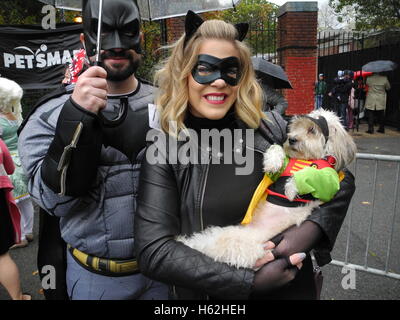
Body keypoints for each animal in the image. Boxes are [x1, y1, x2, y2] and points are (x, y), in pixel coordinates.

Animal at [177, 109, 358, 268]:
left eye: (312, 130)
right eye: (295, 127)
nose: (291, 139)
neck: (306, 159)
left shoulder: (329, 182)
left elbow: (311, 175)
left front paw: (291, 188)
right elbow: (276, 149)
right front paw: (273, 163)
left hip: (239, 246)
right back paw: (184, 241)